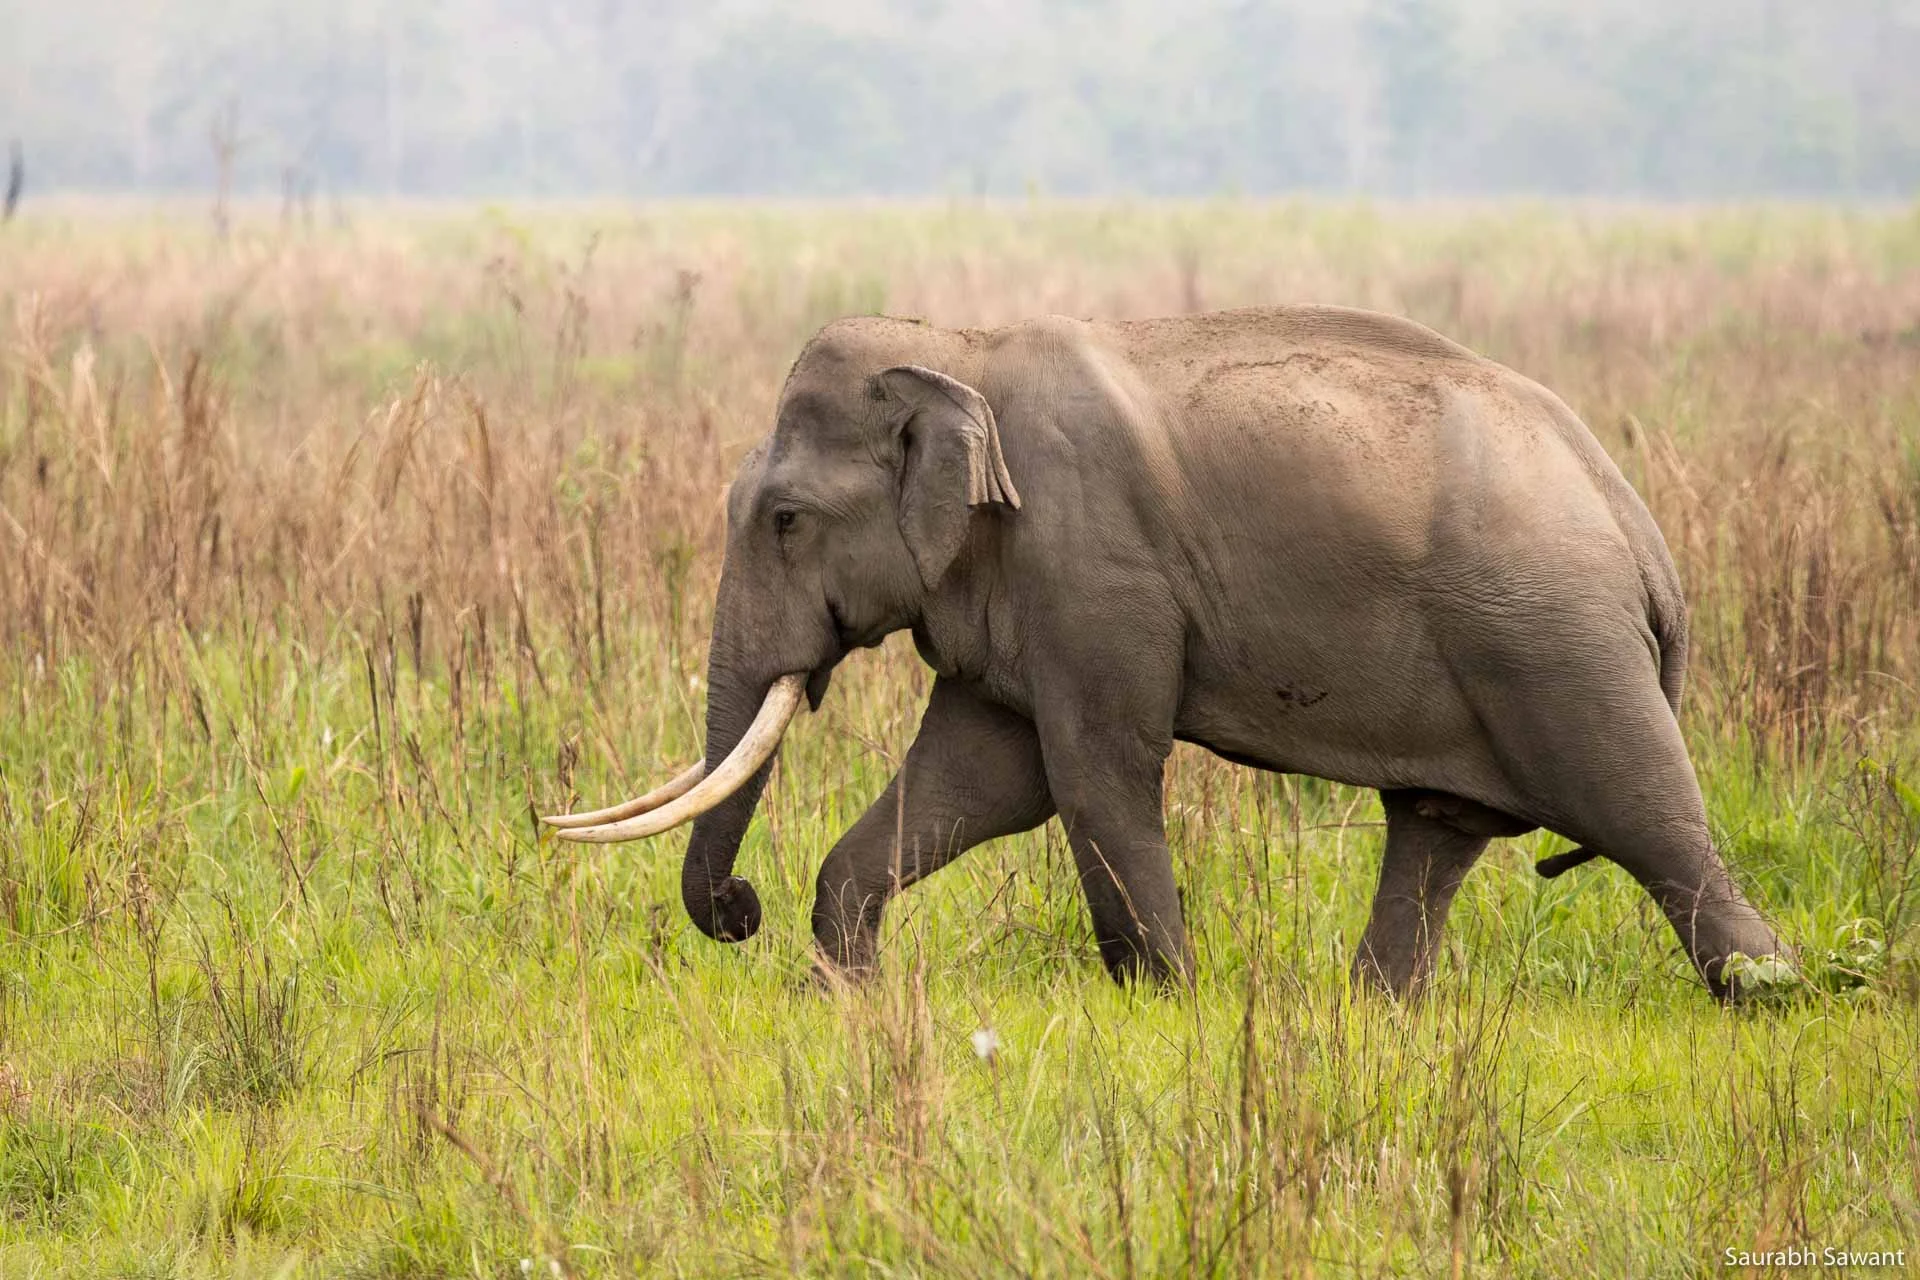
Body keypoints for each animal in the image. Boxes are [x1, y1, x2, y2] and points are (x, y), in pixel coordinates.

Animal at [545, 305, 1789, 1000]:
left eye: (786, 520)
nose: (738, 907)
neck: (958, 346)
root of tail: (1639, 527)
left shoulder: (1092, 564)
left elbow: (1093, 770)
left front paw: (1168, 1000)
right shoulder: (1018, 593)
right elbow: (982, 775)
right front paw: (836, 998)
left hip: (1555, 640)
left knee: (1644, 810)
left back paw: (1768, 988)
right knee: (1437, 830)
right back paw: (1376, 1012)